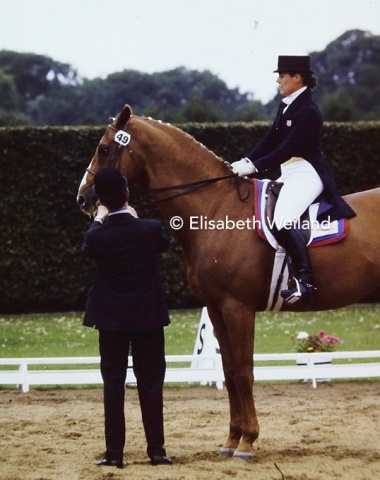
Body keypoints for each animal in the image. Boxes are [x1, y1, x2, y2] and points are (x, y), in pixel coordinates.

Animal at [76, 104, 380, 458]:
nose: (83, 199)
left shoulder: (238, 307)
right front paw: (231, 440)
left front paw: (248, 442)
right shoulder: (216, 307)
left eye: (103, 149)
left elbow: (245, 371)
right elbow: (230, 371)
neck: (215, 206)